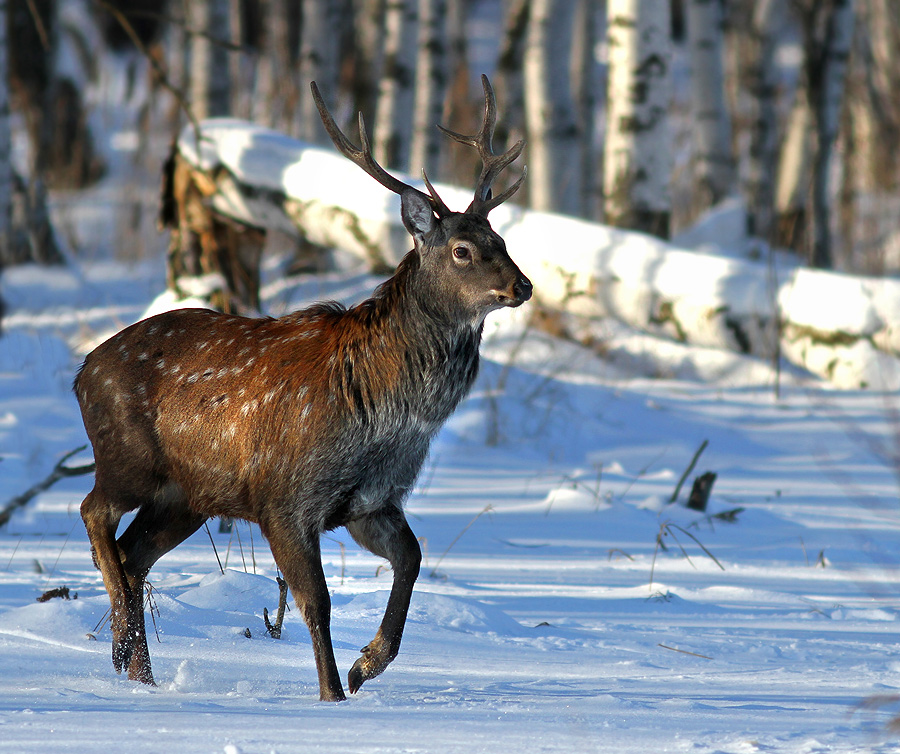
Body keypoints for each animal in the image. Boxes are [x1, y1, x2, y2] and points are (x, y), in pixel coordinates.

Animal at [75, 76, 536, 700]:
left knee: (133, 553)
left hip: (185, 495)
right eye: (462, 250)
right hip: (126, 458)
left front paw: (367, 665)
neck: (388, 417)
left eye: (501, 238)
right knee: (94, 512)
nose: (523, 285)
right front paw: (331, 694)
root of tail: (81, 372)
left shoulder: (371, 500)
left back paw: (138, 671)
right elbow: (316, 601)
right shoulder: (285, 498)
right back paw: (124, 650)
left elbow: (412, 559)